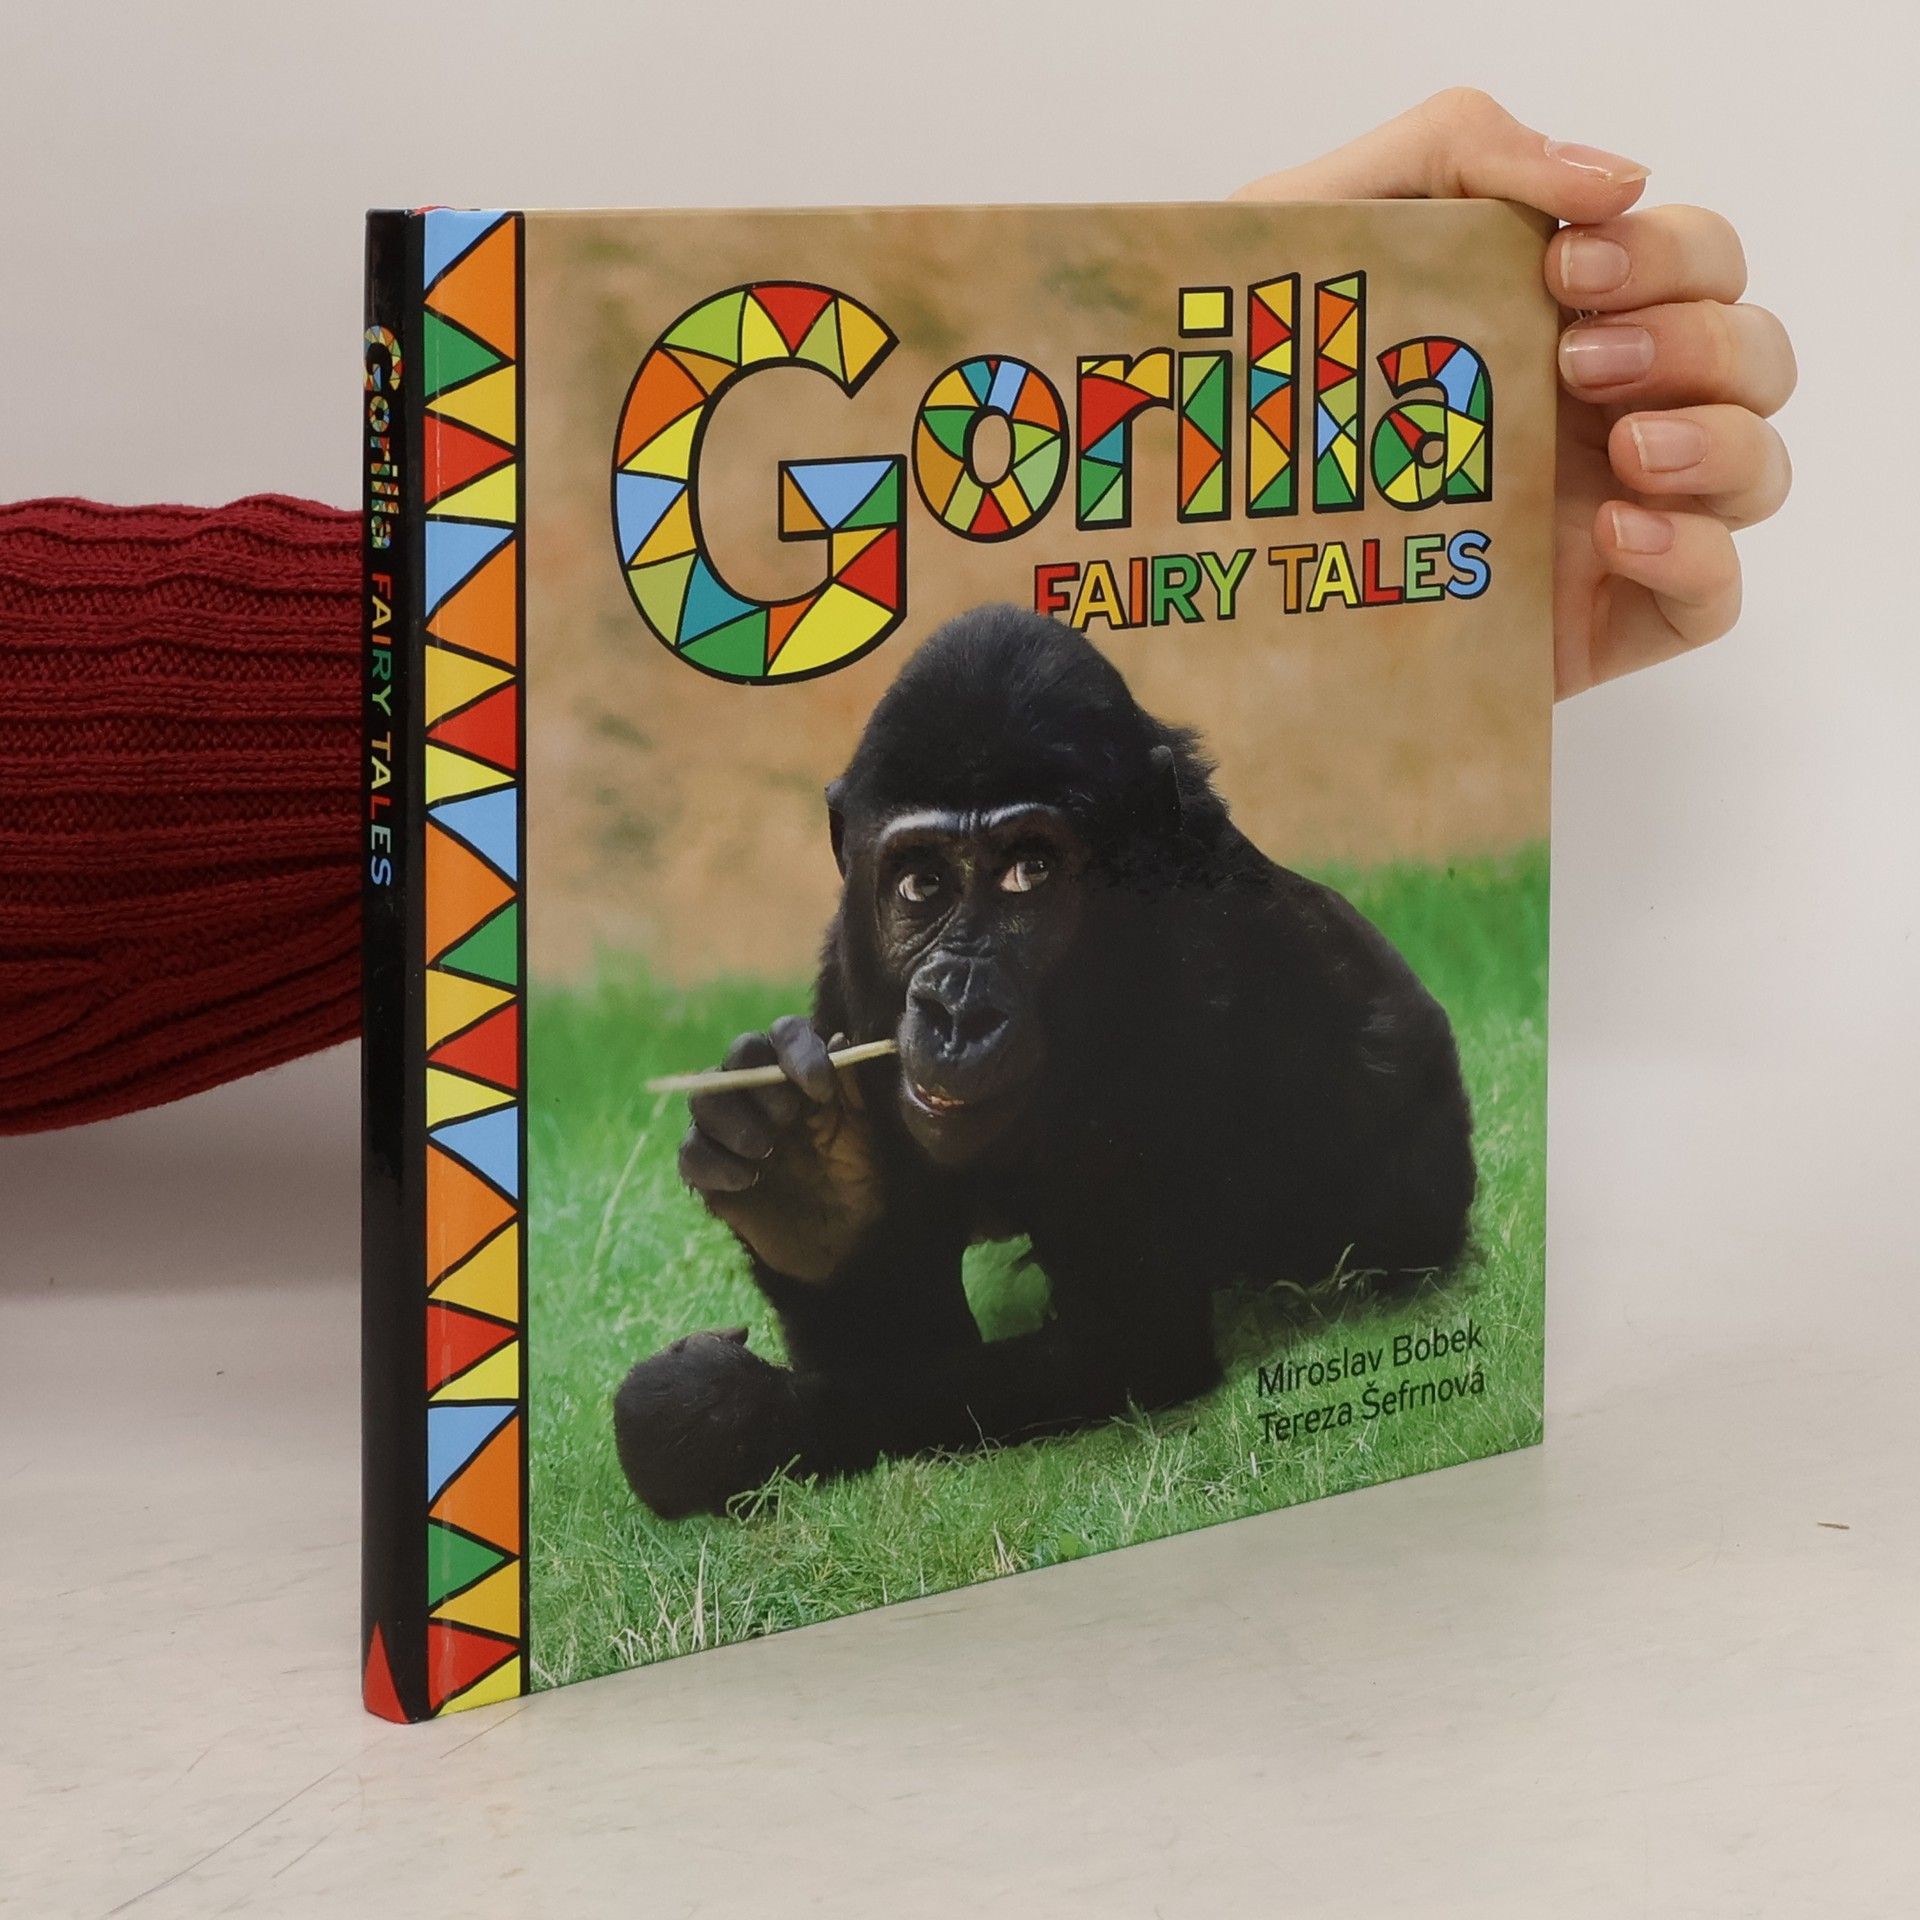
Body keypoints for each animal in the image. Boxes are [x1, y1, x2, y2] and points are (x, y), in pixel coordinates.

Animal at [613, 603, 1475, 1518]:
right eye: (920, 885)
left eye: (1031, 871)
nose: (957, 1008)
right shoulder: (847, 973)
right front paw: (803, 1186)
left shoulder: (1190, 998)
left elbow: (1125, 1350)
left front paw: (715, 1415)